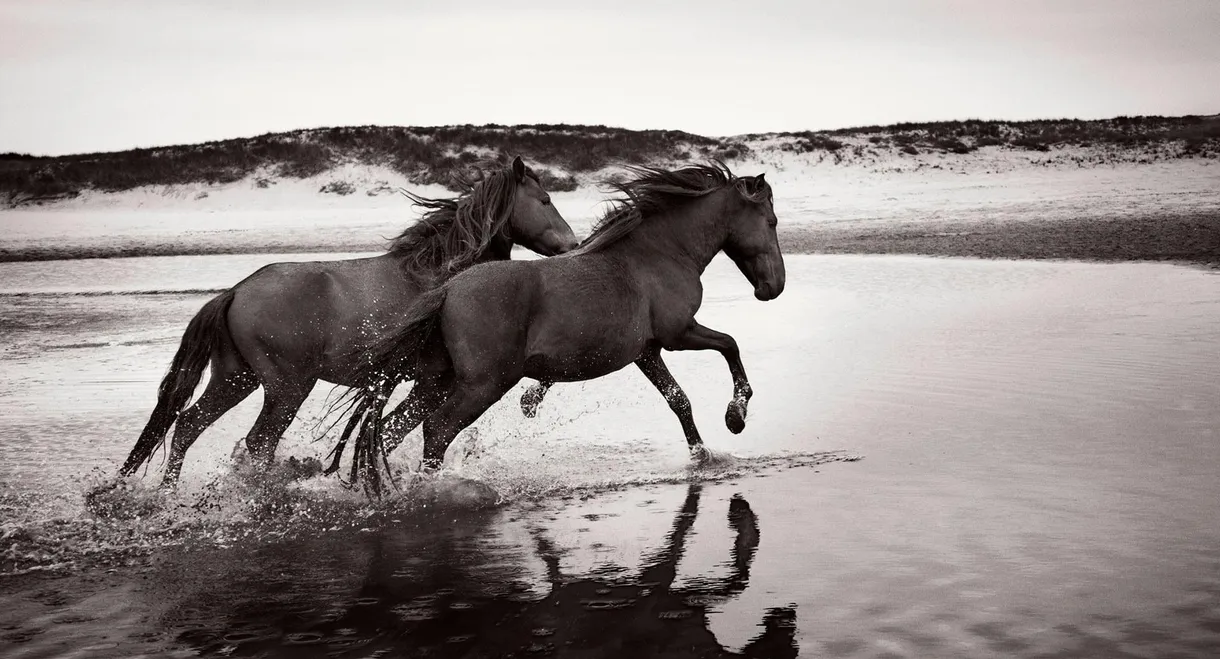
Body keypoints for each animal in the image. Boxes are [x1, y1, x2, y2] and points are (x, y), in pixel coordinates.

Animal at [116, 154, 583, 485]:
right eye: (545, 201)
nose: (572, 245)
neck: (440, 276)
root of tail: (236, 292)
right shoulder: (439, 379)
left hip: (235, 378)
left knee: (188, 425)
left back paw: (169, 493)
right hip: (286, 387)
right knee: (258, 441)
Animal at [331, 161, 780, 488]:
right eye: (772, 222)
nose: (773, 287)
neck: (658, 254)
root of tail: (448, 290)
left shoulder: (647, 352)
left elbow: (678, 400)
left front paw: (703, 456)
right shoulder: (679, 334)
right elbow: (730, 345)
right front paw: (736, 415)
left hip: (434, 381)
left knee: (389, 429)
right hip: (483, 384)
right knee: (437, 429)